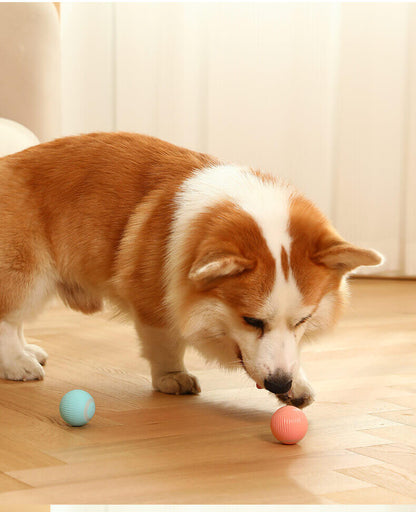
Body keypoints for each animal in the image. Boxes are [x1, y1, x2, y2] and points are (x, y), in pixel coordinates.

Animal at [0, 133, 384, 408]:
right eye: (251, 321)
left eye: (304, 320)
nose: (280, 384)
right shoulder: (153, 305)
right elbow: (167, 345)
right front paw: (173, 378)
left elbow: (288, 353)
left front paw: (298, 383)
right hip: (27, 275)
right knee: (8, 318)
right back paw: (18, 363)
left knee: (16, 322)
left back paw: (28, 352)